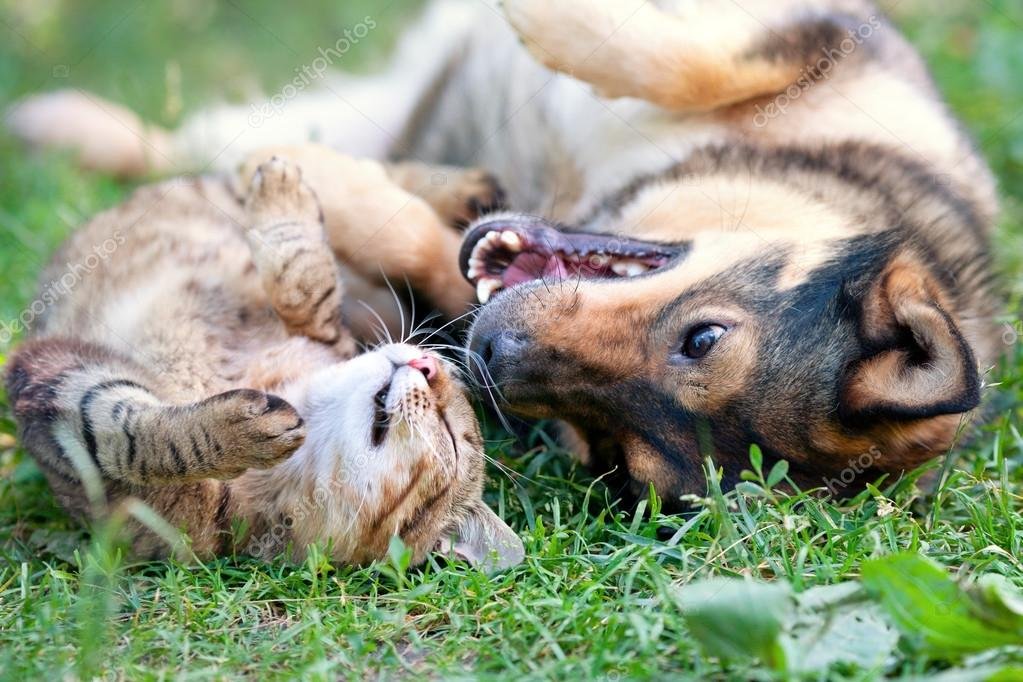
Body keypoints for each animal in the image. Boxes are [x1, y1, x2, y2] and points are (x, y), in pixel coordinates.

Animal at [7, 0, 998, 509]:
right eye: (704, 338)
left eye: (611, 450)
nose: (487, 354)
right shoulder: (826, 35)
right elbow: (692, 56)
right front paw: (546, 19)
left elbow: (422, 245)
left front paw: (331, 189)